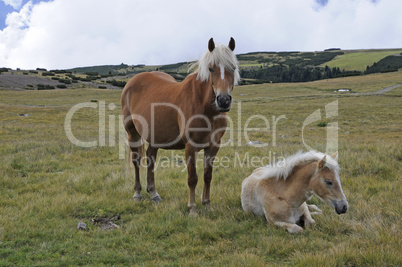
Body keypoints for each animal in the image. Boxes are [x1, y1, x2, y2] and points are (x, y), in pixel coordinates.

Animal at [119, 37, 239, 216]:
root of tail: (131, 83)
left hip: (155, 136)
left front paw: (207, 204)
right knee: (136, 160)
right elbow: (192, 178)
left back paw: (153, 193)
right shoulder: (190, 147)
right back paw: (137, 193)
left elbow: (207, 176)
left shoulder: (213, 146)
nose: (223, 101)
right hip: (132, 132)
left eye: (233, 68)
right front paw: (192, 208)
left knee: (151, 158)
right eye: (211, 69)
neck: (205, 107)